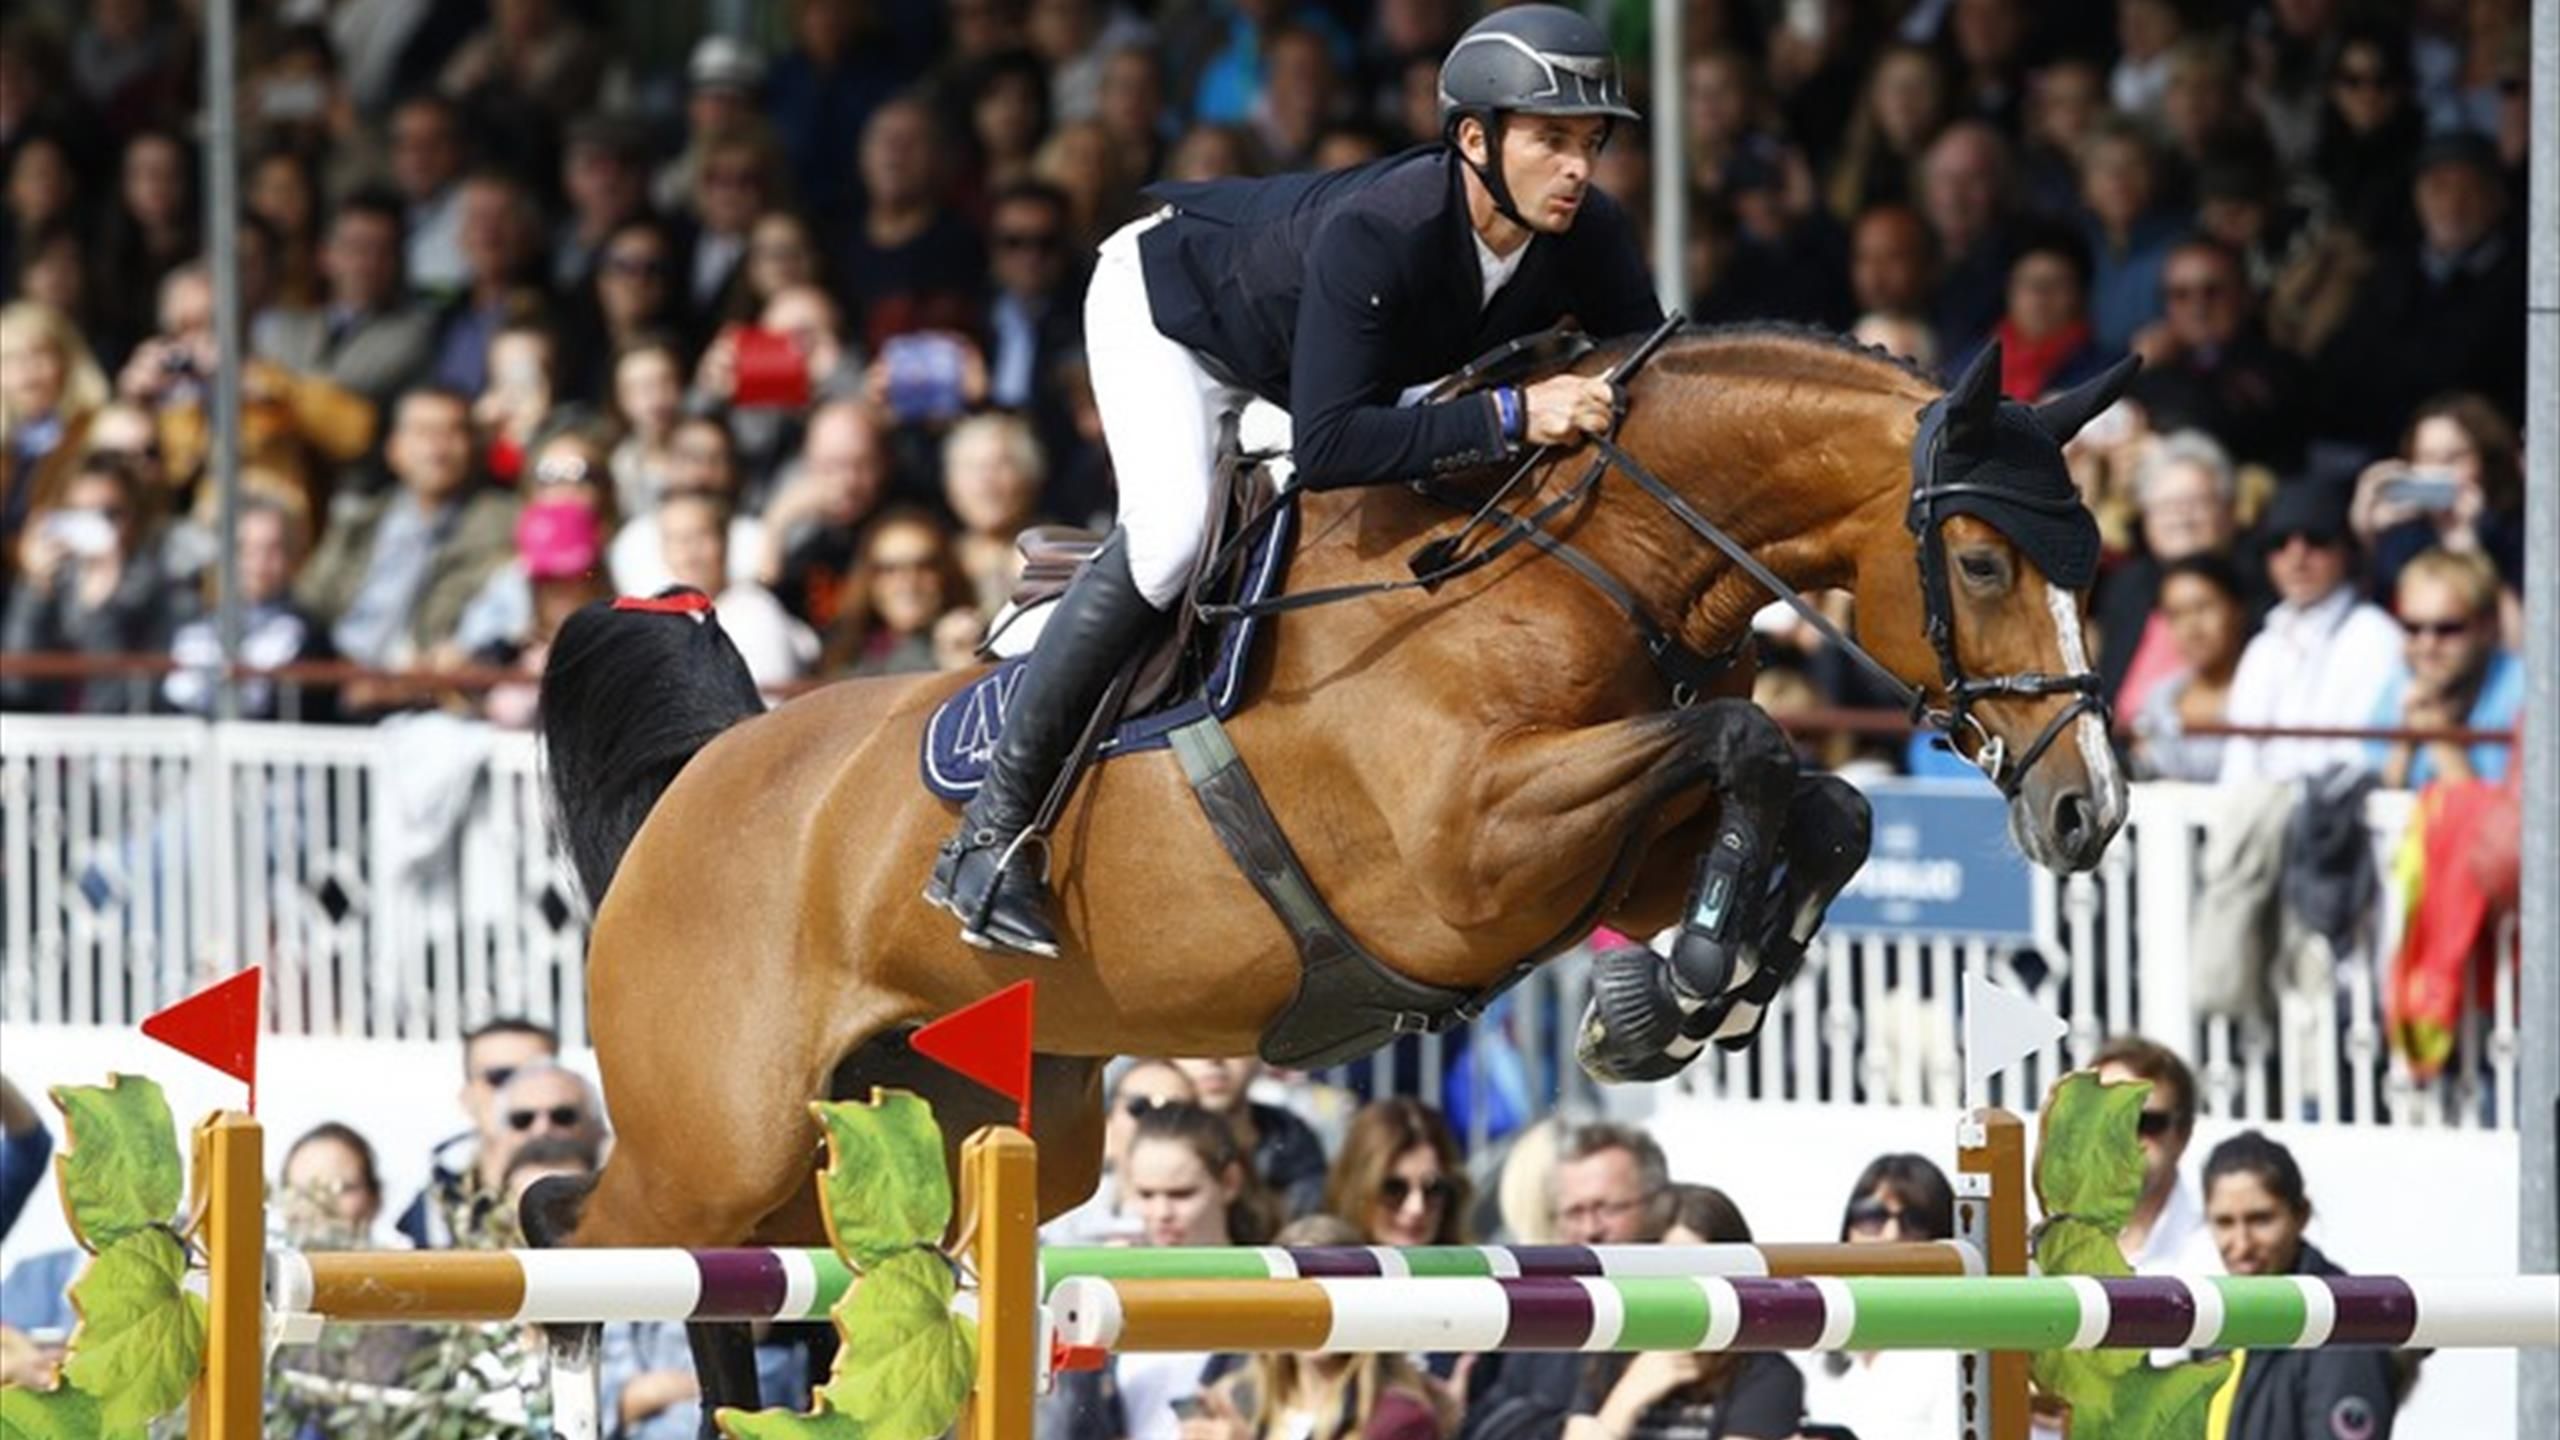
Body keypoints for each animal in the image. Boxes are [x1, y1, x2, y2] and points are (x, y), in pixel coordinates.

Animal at [524, 327, 2137, 1417]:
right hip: (718, 1142)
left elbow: (1819, 800)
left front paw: (1692, 994)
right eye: (1982, 563)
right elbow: (1745, 741)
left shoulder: (1615, 837)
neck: (1581, 561)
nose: (2086, 814)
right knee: (578, 1238)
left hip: (938, 1128)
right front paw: (1679, 988)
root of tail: (703, 784)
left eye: (2097, 567)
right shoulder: (1467, 848)